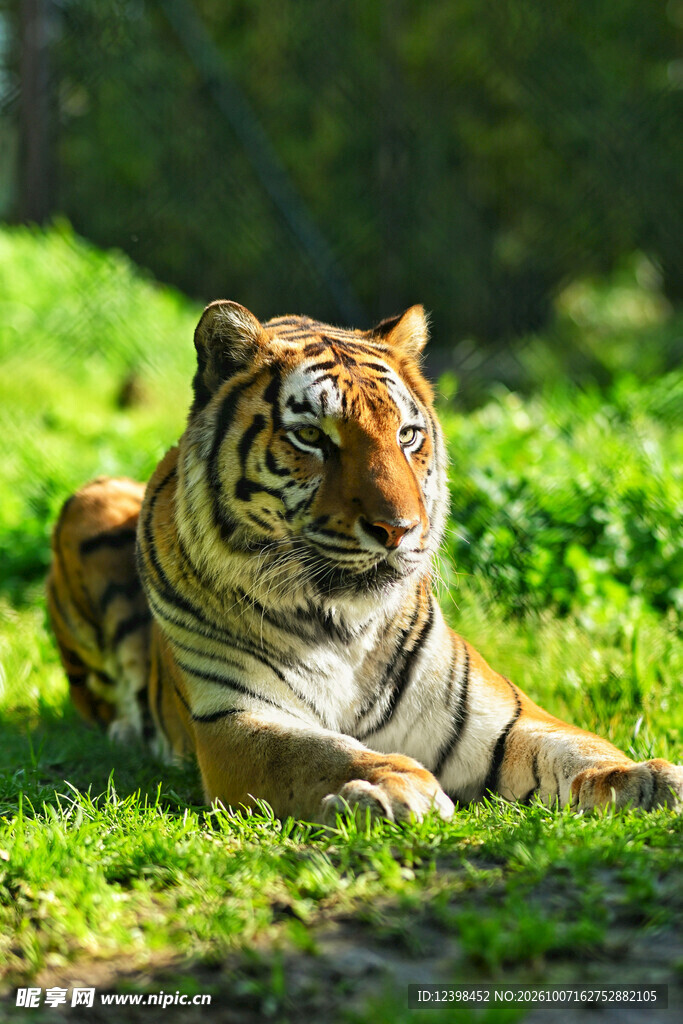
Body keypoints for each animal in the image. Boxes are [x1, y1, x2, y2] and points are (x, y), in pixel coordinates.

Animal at [47, 300, 683, 822]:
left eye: (407, 435)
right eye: (311, 437)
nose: (399, 529)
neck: (342, 623)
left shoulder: (496, 716)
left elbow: (574, 746)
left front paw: (646, 779)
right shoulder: (235, 719)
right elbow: (318, 751)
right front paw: (392, 785)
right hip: (92, 500)